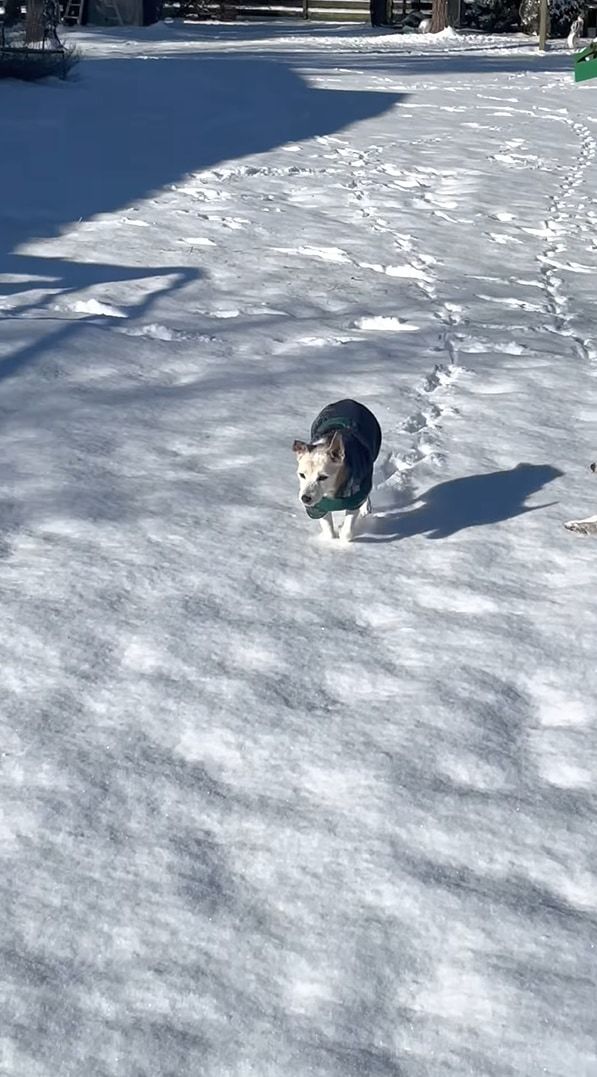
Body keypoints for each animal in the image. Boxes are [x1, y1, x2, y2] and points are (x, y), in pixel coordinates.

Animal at [293, 400, 381, 542]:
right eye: (302, 475)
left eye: (323, 477)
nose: (305, 498)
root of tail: (350, 401)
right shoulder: (318, 506)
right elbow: (327, 528)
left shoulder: (354, 499)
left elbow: (347, 531)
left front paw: (342, 533)